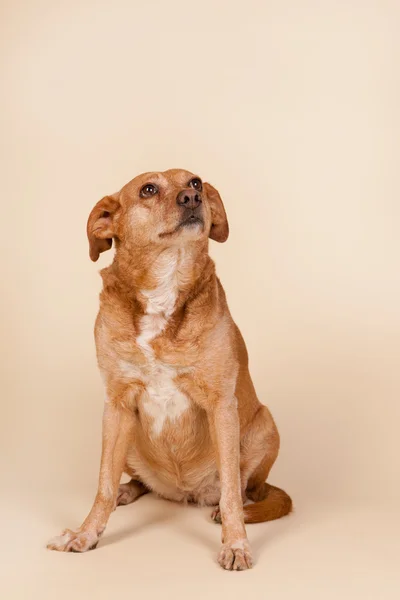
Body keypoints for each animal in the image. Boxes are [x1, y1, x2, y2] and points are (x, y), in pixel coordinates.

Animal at [47, 168, 292, 568]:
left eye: (195, 182)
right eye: (148, 189)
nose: (192, 198)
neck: (164, 287)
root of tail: (183, 493)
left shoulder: (222, 405)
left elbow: (231, 491)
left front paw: (236, 543)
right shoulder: (116, 405)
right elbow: (102, 485)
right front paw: (86, 534)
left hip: (264, 425)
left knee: (240, 487)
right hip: (125, 435)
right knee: (132, 481)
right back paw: (128, 491)